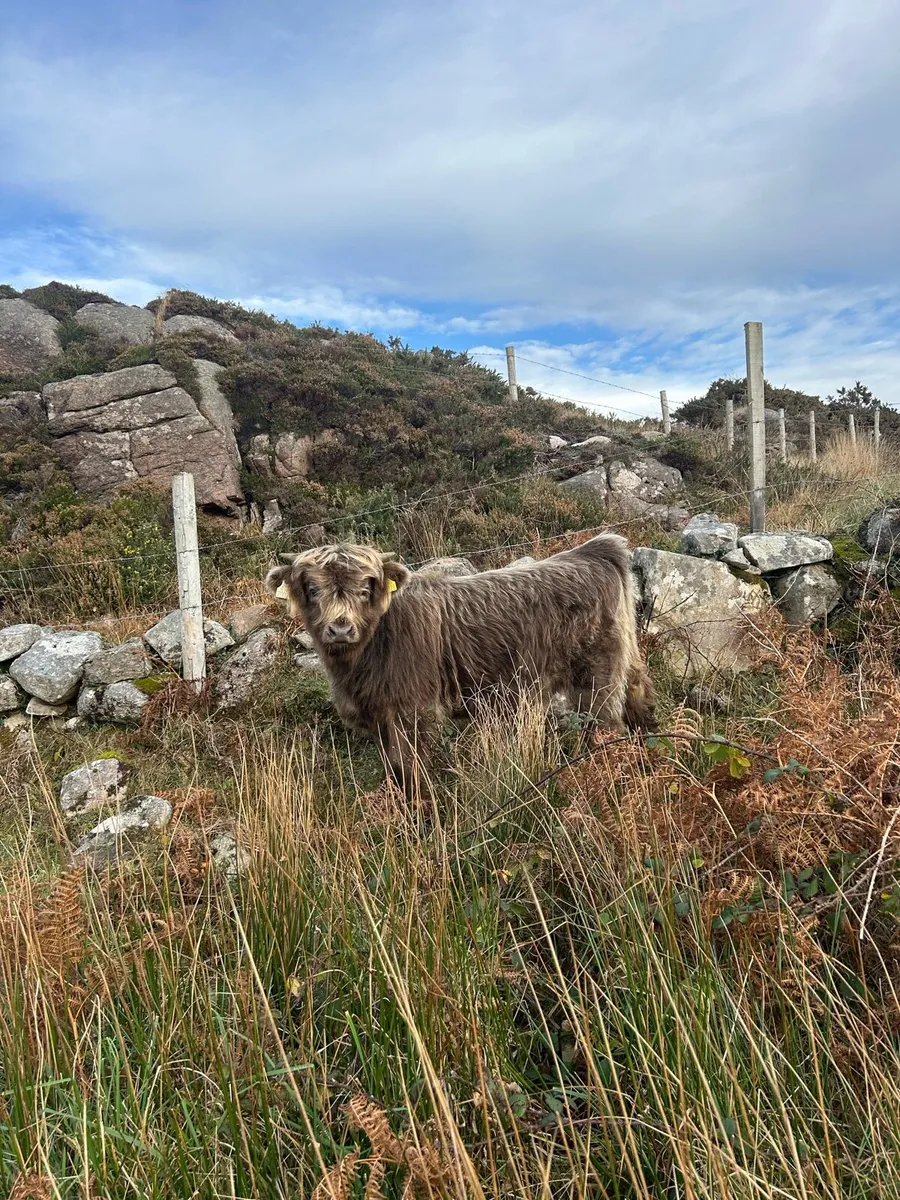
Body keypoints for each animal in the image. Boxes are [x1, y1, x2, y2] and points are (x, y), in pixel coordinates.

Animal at [266, 534, 655, 792]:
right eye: (312, 589)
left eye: (366, 589)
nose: (341, 628)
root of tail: (593, 551)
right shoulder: (378, 717)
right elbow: (392, 768)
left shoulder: (412, 711)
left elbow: (410, 768)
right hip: (627, 663)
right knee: (640, 698)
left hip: (597, 679)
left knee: (606, 728)